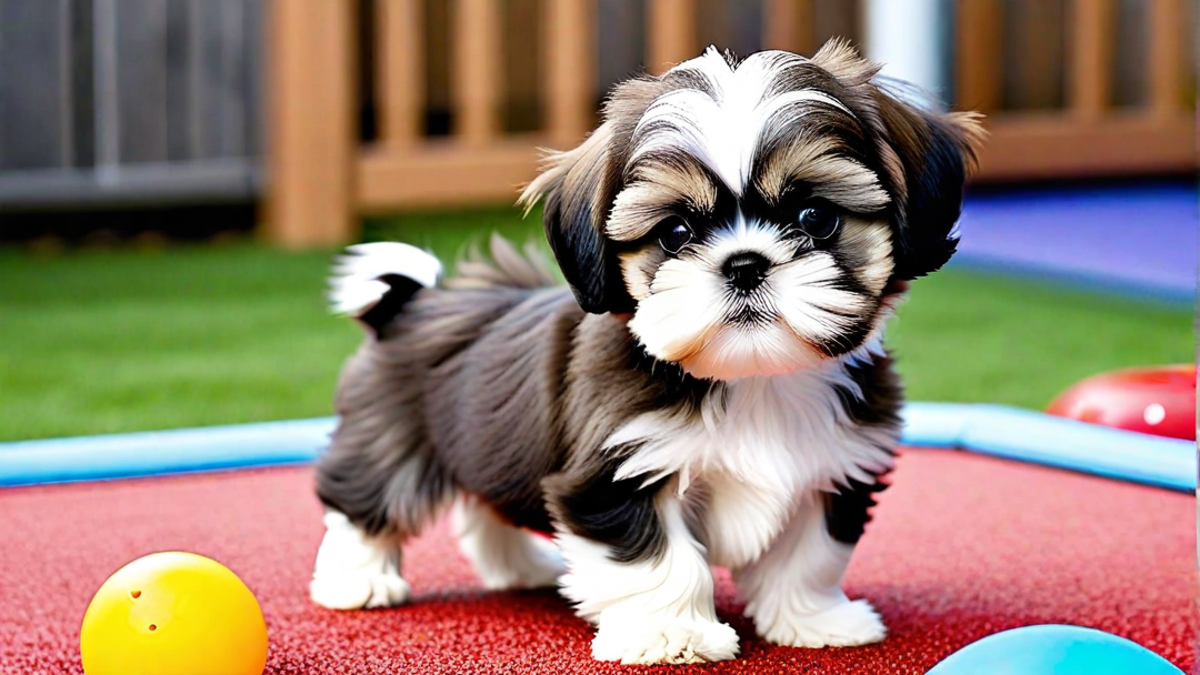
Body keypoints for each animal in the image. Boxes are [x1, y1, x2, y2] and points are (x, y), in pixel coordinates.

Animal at [309, 42, 984, 662]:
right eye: (676, 233)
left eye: (815, 216)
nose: (745, 264)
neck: (753, 378)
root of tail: (410, 305)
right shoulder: (616, 469)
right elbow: (660, 560)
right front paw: (672, 634)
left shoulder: (838, 462)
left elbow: (810, 553)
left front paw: (814, 619)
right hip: (390, 433)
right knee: (366, 500)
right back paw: (358, 580)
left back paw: (518, 565)